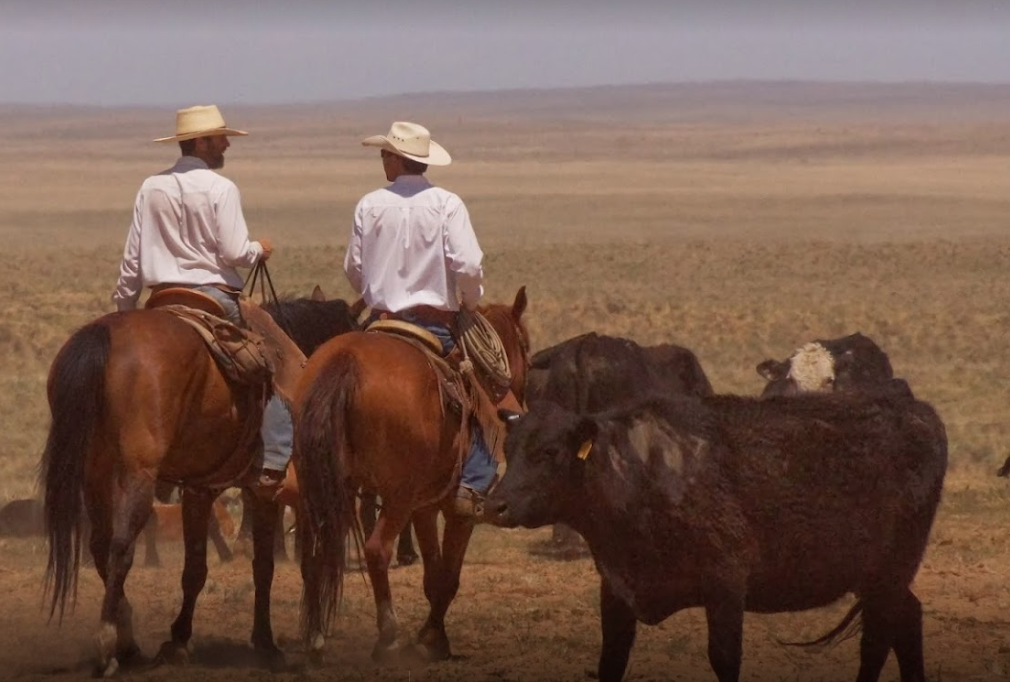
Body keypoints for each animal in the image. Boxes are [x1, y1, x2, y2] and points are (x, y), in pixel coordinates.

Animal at [40, 290, 363, 674]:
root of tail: (102, 335)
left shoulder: (199, 490)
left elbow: (195, 566)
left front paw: (179, 640)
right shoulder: (273, 493)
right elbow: (276, 566)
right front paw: (278, 643)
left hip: (96, 474)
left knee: (101, 547)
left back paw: (129, 643)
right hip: (136, 474)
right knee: (120, 548)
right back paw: (108, 644)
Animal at [294, 286, 529, 662]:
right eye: (526, 346)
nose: (516, 408)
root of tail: (345, 362)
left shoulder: (425, 506)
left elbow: (433, 575)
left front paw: (433, 635)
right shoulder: (458, 510)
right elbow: (448, 577)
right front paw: (433, 639)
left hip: (318, 485)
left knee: (314, 551)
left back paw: (315, 638)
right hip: (397, 496)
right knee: (376, 549)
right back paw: (388, 637)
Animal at [488, 385, 945, 678]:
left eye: (549, 452)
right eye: (508, 449)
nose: (496, 505)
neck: (642, 468)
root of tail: (921, 414)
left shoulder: (725, 586)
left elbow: (724, 659)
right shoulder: (616, 589)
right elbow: (610, 661)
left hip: (888, 576)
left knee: (878, 640)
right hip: (882, 581)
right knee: (908, 620)